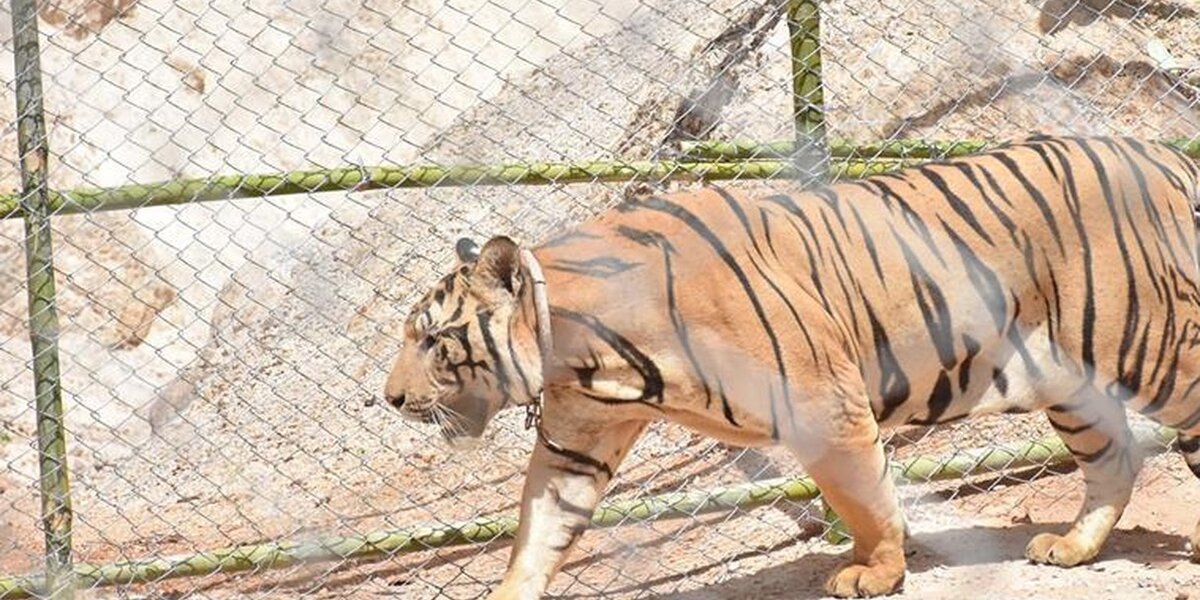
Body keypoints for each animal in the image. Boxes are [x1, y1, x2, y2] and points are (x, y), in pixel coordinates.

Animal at [379, 135, 1200, 595]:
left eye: (431, 337)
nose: (388, 399)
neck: (580, 357)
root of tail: (1163, 155)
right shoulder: (576, 442)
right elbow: (539, 533)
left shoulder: (824, 405)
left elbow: (865, 500)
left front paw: (876, 572)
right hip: (1070, 377)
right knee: (1115, 458)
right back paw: (1073, 548)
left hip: (1154, 343)